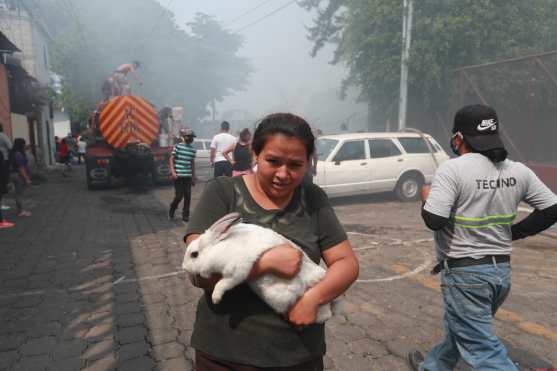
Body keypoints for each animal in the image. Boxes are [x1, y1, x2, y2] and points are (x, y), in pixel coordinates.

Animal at [182, 214, 338, 324]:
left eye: (194, 254)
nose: (184, 267)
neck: (219, 248)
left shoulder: (238, 271)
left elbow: (223, 284)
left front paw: (216, 298)